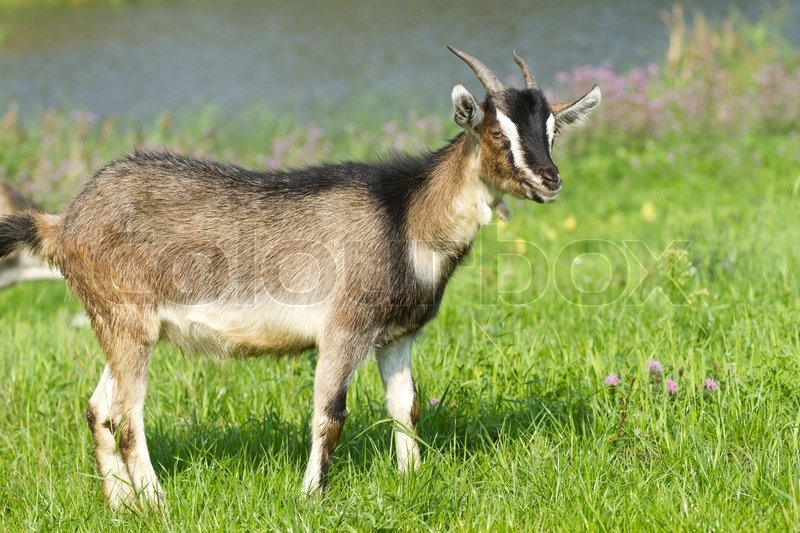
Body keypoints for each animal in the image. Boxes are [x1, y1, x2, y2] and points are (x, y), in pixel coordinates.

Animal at [0, 46, 600, 510]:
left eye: (551, 130)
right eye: (496, 133)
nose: (549, 180)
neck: (404, 215)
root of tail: (62, 222)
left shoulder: (397, 335)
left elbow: (406, 408)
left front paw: (411, 480)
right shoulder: (344, 328)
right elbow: (329, 414)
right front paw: (311, 496)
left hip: (114, 322)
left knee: (99, 410)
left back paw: (121, 505)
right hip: (129, 320)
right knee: (128, 418)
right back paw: (157, 503)